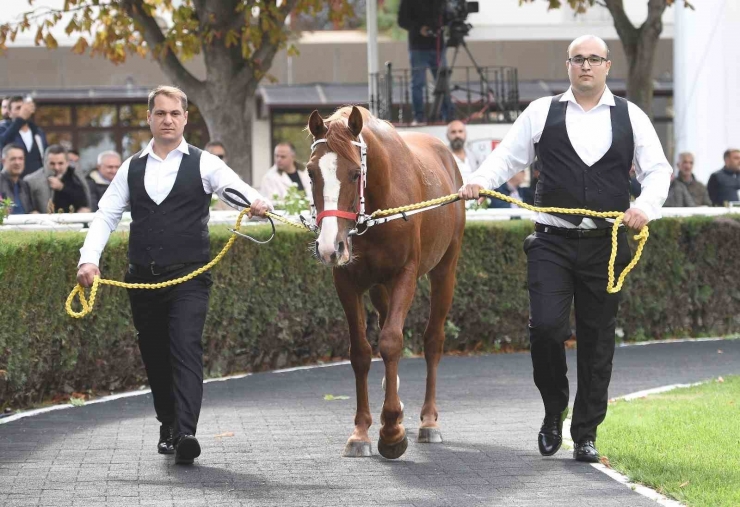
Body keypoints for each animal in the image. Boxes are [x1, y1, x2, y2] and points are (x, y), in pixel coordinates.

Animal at [304, 105, 462, 458]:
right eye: (311, 173)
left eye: (354, 173)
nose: (329, 247)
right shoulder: (346, 280)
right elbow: (361, 352)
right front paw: (361, 431)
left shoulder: (405, 274)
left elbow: (391, 341)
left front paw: (391, 431)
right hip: (378, 287)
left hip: (445, 270)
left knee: (433, 340)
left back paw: (428, 421)